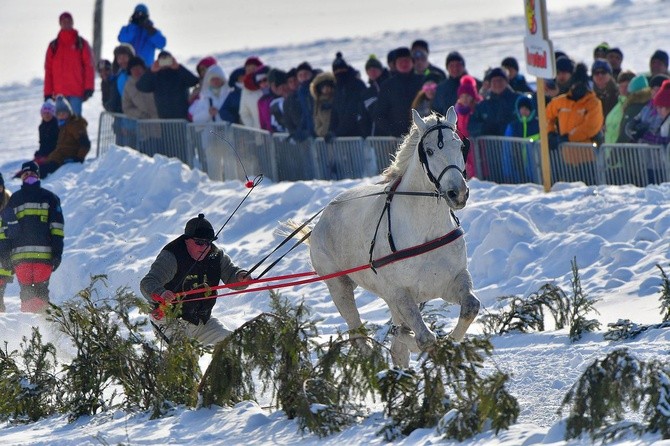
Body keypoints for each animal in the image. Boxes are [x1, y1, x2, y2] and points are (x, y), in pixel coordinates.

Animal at [300, 108, 478, 366]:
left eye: (460, 146)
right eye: (430, 151)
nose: (458, 193)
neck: (425, 230)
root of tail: (323, 216)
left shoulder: (451, 280)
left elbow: (470, 308)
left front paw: (450, 342)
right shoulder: (401, 293)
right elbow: (425, 339)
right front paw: (421, 341)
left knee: (397, 346)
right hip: (339, 287)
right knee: (358, 336)